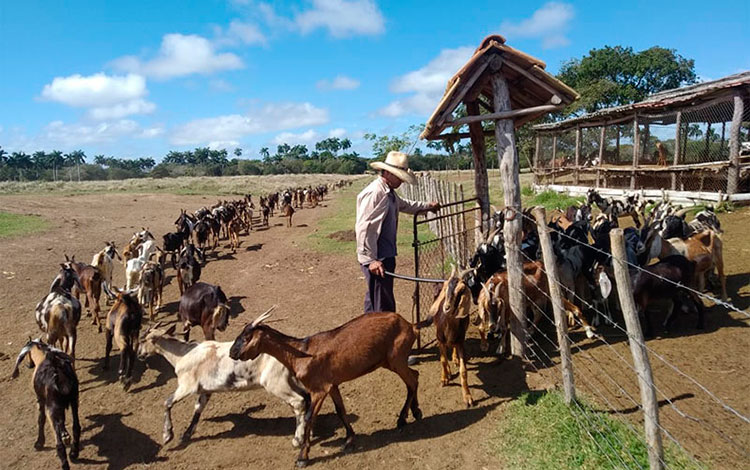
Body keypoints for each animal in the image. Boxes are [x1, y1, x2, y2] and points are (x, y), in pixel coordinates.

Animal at [11, 340, 80, 470]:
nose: (29, 365)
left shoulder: (41, 401)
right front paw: (65, 434)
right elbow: (62, 421)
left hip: (51, 409)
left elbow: (41, 419)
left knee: (59, 445)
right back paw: (74, 452)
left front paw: (39, 443)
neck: (41, 357)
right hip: (74, 401)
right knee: (76, 427)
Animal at [137, 324, 308, 448]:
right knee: (306, 398)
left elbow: (167, 403)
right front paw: (186, 435)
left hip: (276, 382)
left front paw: (167, 435)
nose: (139, 355)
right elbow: (198, 409)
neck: (182, 355)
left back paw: (298, 440)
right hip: (290, 381)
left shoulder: (186, 386)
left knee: (298, 402)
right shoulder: (205, 391)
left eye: (143, 340)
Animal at [229, 308, 426, 466]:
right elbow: (340, 410)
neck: (301, 353)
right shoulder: (332, 385)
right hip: (390, 361)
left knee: (412, 380)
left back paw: (402, 419)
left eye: (246, 337)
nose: (232, 352)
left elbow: (309, 417)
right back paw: (415, 412)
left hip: (396, 358)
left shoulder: (318, 389)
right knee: (415, 376)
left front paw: (302, 457)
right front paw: (349, 439)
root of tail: (410, 325)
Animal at [428, 268, 476, 408]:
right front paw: (444, 378)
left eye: (461, 290)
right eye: (446, 286)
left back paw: (454, 359)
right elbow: (443, 360)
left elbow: (463, 370)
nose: (446, 308)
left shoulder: (460, 341)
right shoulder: (439, 339)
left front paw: (467, 397)